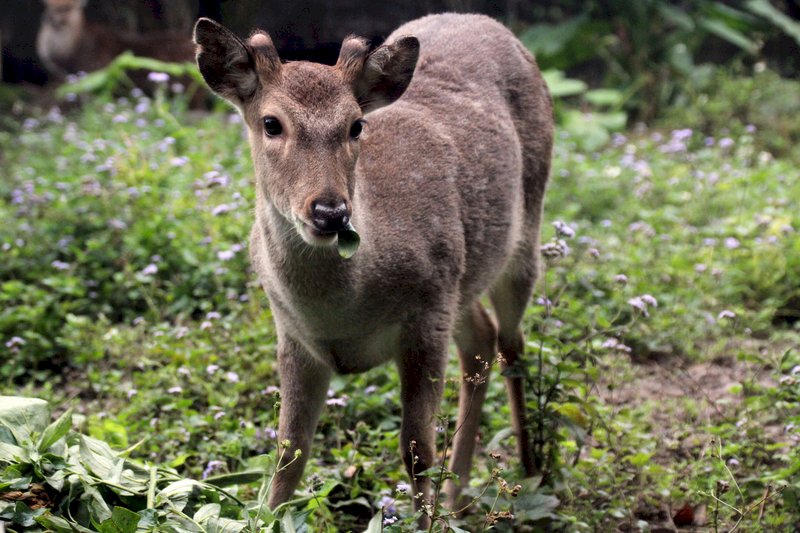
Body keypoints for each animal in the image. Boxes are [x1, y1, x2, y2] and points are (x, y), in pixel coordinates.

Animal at [193, 12, 553, 521]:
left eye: (356, 125)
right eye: (271, 123)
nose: (330, 211)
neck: (342, 313)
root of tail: (485, 21)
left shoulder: (428, 311)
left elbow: (417, 450)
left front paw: (423, 523)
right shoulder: (294, 334)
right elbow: (288, 452)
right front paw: (266, 516)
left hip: (522, 232)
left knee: (511, 345)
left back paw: (528, 469)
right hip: (463, 278)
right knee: (481, 340)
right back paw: (459, 495)